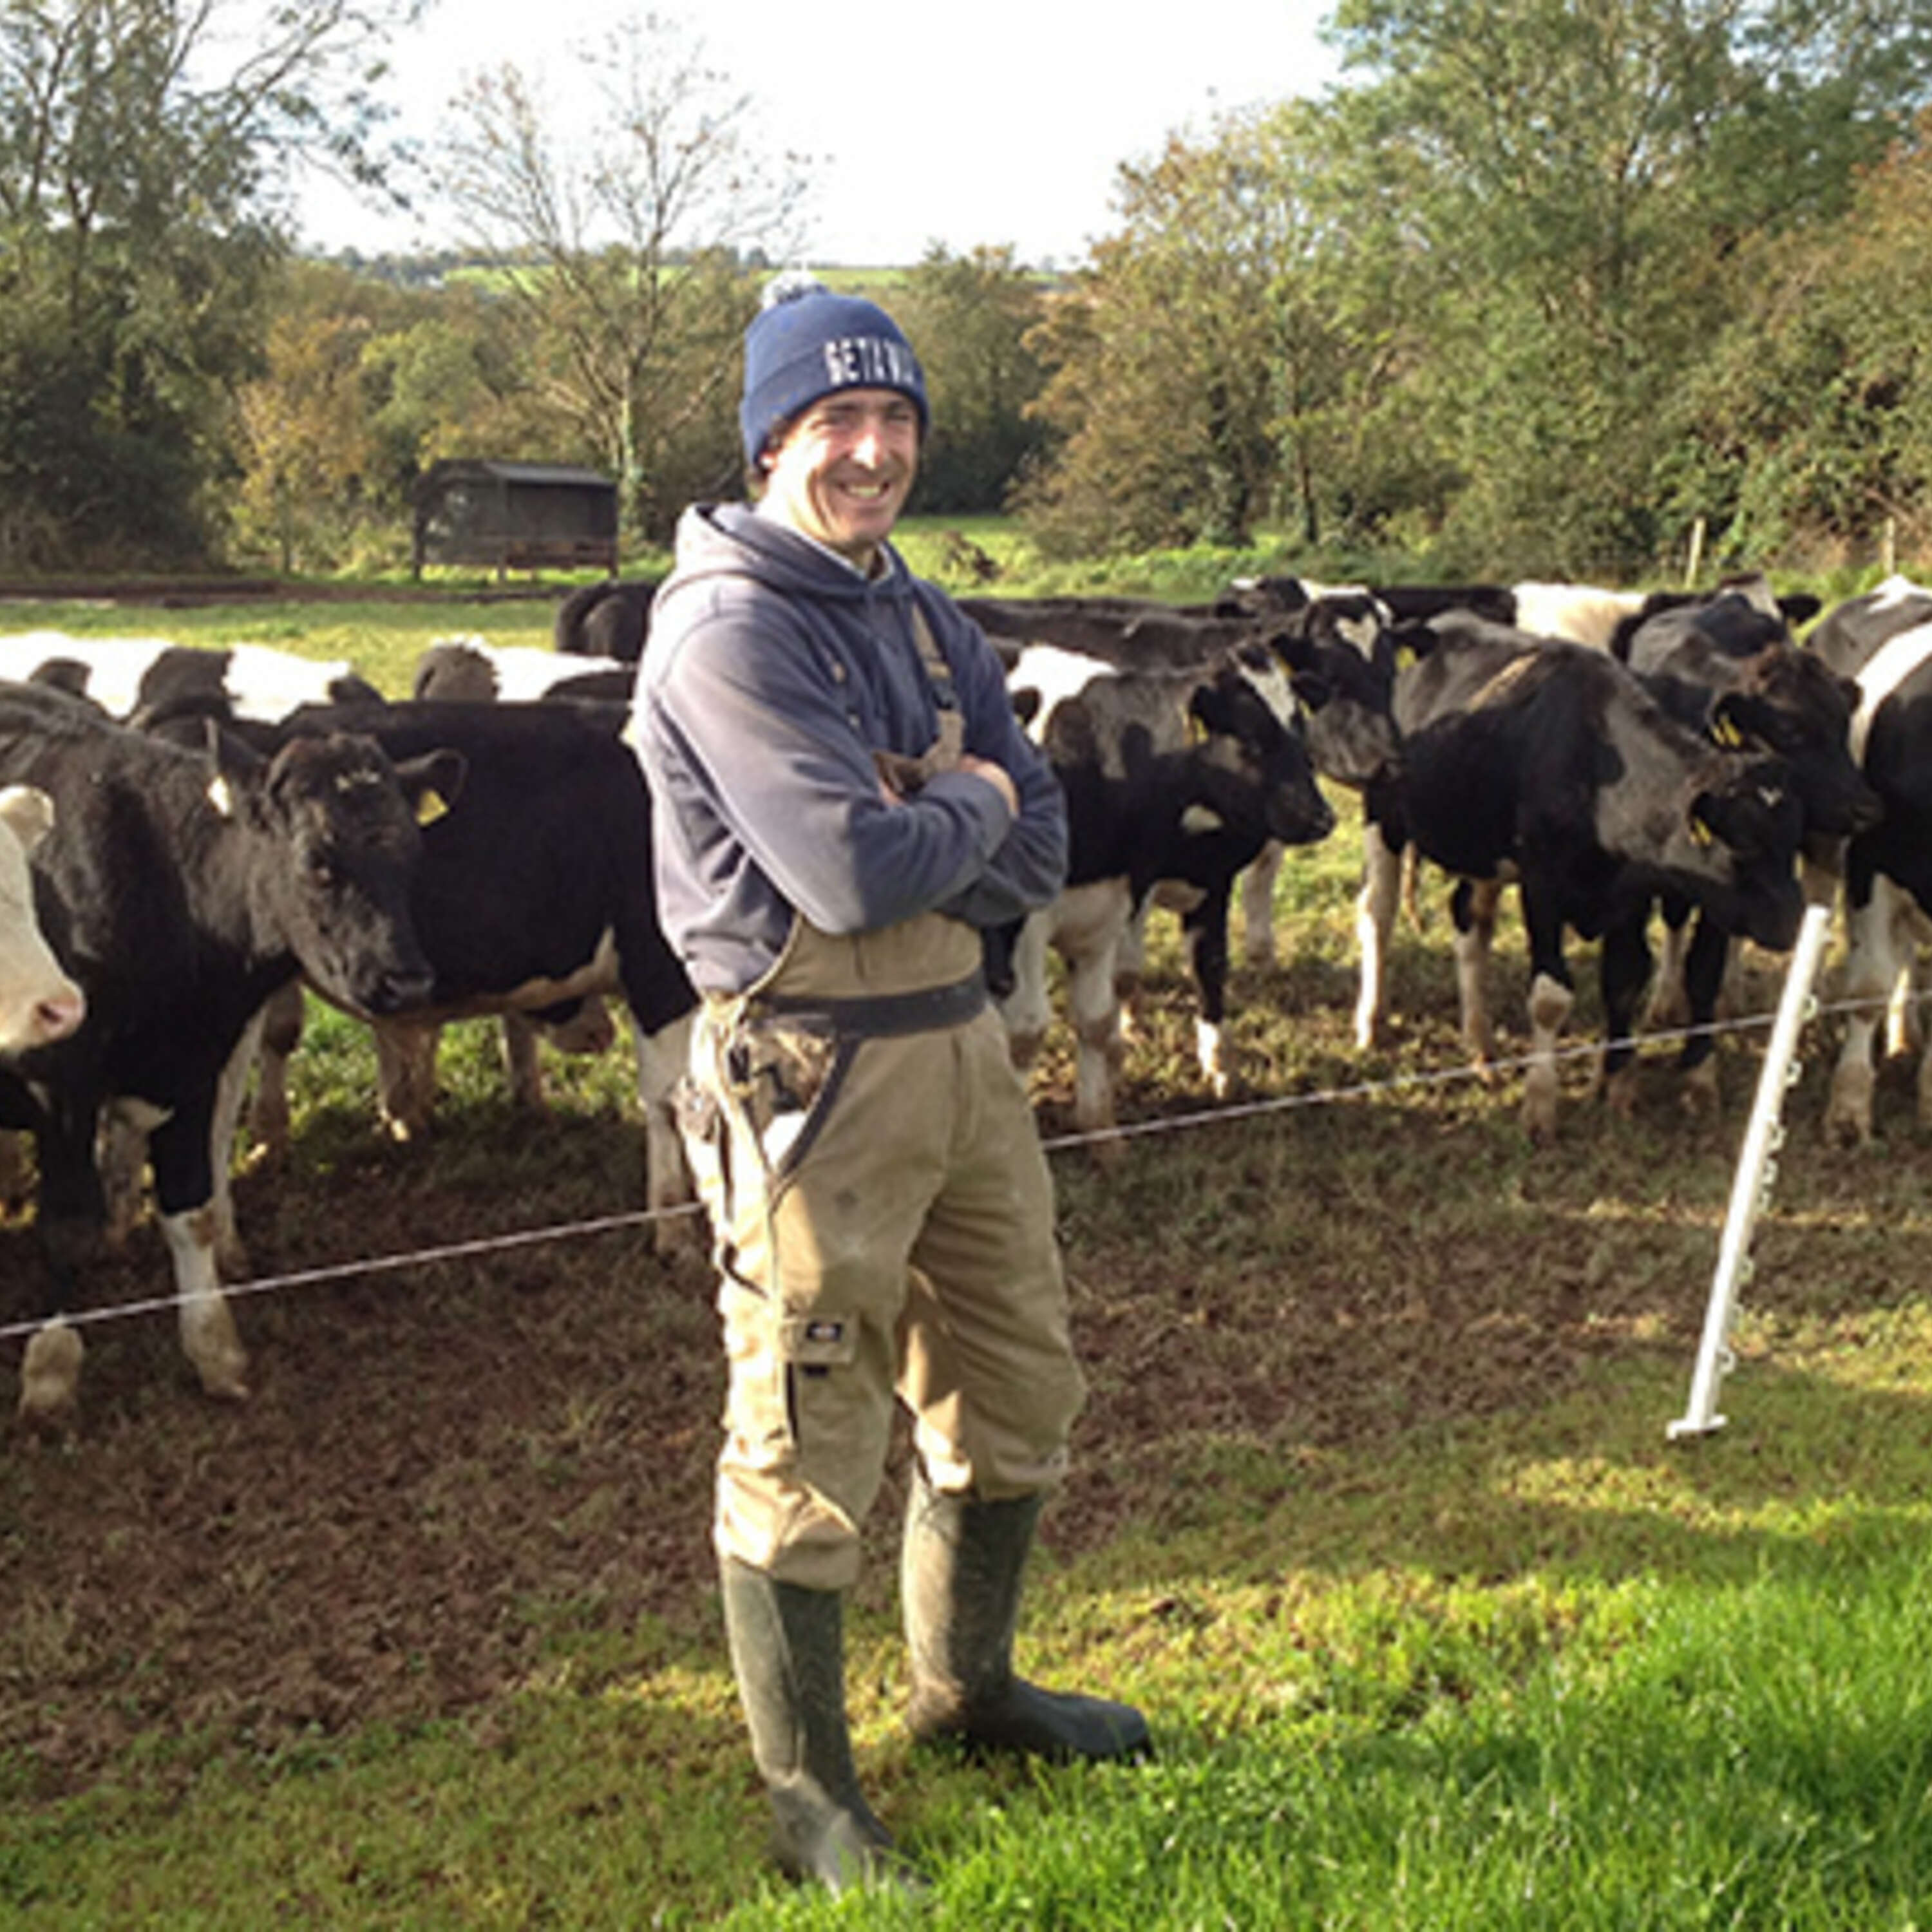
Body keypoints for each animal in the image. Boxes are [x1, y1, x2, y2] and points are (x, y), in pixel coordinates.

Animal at [0, 676, 464, 1422]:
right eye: (319, 865)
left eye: (411, 859)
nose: (409, 980)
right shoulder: (56, 1080)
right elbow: (68, 1226)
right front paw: (51, 1370)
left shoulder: (195, 1067)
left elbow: (190, 1213)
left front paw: (215, 1350)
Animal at [989, 641, 1337, 1136]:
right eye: (1250, 738)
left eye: (1299, 731)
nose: (1322, 818)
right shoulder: (1032, 919)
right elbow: (1031, 1022)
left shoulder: (1187, 885)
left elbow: (1205, 967)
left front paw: (1220, 1068)